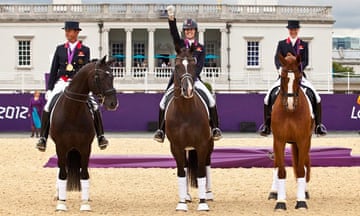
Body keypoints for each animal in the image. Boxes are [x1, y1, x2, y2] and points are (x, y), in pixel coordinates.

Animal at [50, 55, 118, 211]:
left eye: (112, 76)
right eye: (99, 77)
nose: (113, 103)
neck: (72, 112)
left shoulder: (85, 147)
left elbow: (85, 174)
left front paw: (85, 204)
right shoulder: (61, 147)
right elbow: (62, 174)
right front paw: (61, 204)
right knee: (60, 168)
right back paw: (58, 195)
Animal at [166, 46, 214, 213]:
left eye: (194, 65)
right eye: (177, 66)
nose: (188, 90)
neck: (185, 111)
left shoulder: (202, 145)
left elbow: (201, 172)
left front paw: (203, 203)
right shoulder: (176, 147)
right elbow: (181, 173)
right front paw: (181, 203)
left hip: (209, 145)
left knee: (206, 165)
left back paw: (208, 194)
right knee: (186, 167)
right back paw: (186, 196)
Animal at [268, 52, 314, 211]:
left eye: (298, 78)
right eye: (283, 77)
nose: (289, 104)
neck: (290, 113)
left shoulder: (303, 140)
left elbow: (300, 170)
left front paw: (301, 202)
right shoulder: (279, 141)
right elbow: (281, 171)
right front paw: (280, 202)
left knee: (305, 165)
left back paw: (305, 192)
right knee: (276, 165)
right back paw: (273, 192)